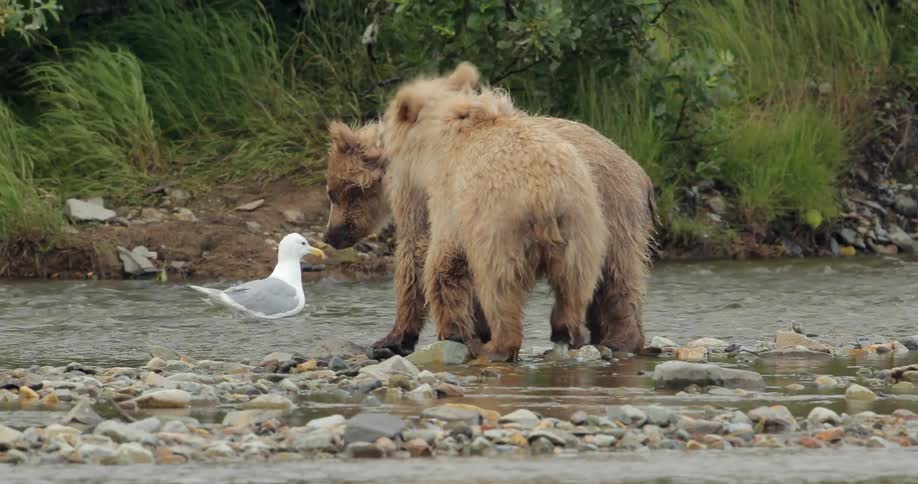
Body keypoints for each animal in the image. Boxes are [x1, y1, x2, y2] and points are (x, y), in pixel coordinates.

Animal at [324, 63, 655, 356]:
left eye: (333, 193)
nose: (330, 235)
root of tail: (637, 169)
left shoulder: (421, 193)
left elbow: (417, 249)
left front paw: (394, 338)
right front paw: (475, 327)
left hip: (602, 207)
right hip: (595, 223)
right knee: (613, 279)